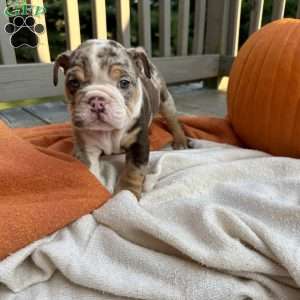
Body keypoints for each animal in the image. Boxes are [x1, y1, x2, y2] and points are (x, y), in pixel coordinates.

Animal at [52, 39, 186, 199]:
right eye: (74, 83)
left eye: (124, 83)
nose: (97, 101)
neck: (109, 132)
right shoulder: (86, 147)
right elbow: (90, 170)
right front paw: (95, 187)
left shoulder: (138, 144)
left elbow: (133, 171)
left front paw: (127, 193)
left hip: (166, 101)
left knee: (173, 121)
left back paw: (180, 141)